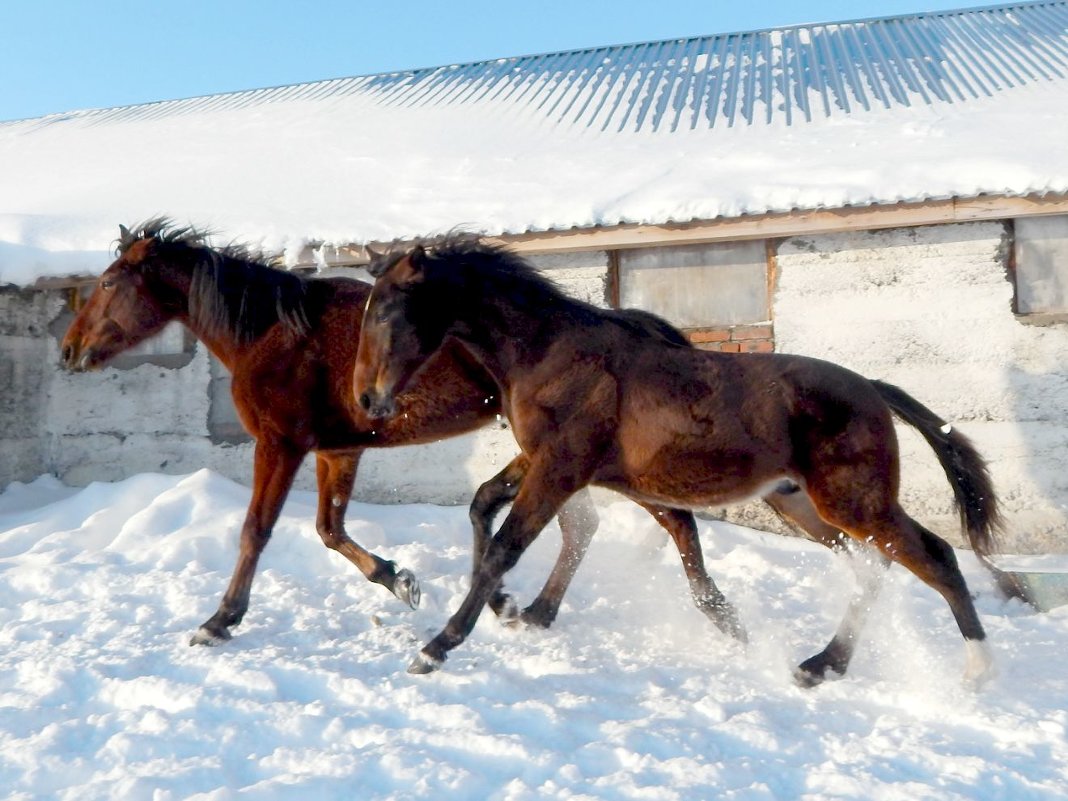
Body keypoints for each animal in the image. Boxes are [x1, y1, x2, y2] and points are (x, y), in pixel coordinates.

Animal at [58, 220, 743, 653]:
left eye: (109, 282)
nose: (68, 351)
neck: (275, 334)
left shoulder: (281, 445)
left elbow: (257, 531)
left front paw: (219, 621)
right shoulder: (339, 449)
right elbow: (329, 530)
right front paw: (400, 580)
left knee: (670, 522)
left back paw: (722, 619)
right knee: (581, 529)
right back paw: (529, 612)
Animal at [354, 238, 1003, 692]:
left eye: (386, 314)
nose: (367, 400)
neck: (552, 353)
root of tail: (873, 390)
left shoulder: (560, 467)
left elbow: (504, 547)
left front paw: (435, 648)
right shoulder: (544, 461)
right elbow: (483, 504)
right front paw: (507, 608)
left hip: (854, 502)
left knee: (934, 557)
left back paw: (975, 672)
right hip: (804, 504)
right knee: (873, 569)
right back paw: (820, 666)